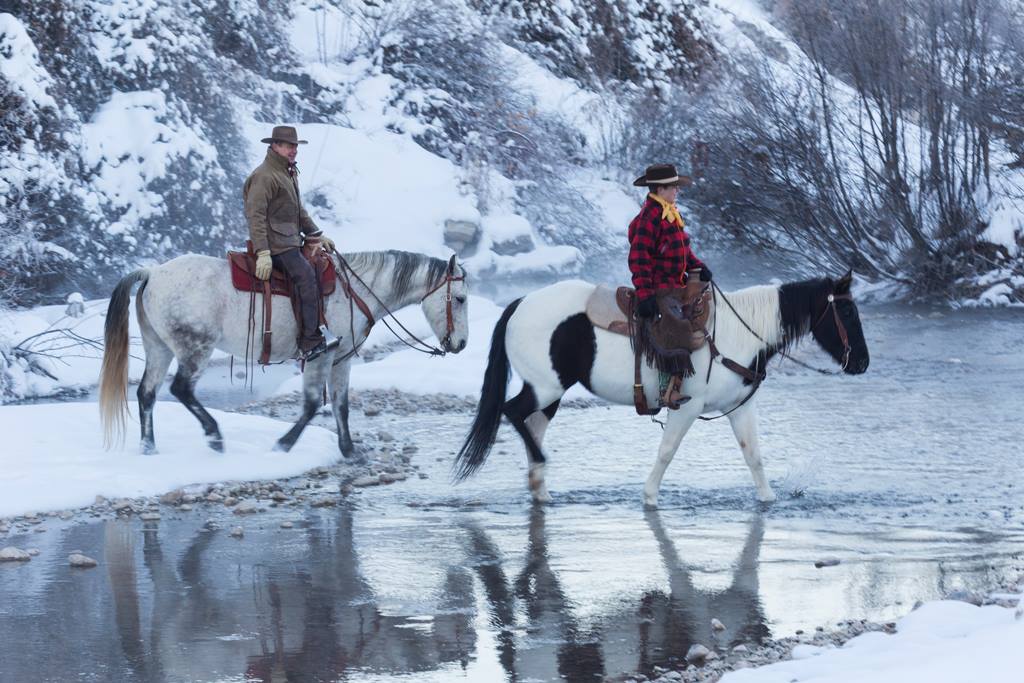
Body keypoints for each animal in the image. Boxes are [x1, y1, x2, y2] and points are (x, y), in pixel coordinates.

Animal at [99, 248, 468, 456]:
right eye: (461, 298)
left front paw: (349, 451)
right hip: (195, 348)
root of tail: (153, 273)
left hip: (158, 348)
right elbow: (312, 404)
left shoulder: (343, 358)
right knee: (180, 389)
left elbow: (341, 405)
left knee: (147, 393)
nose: (461, 344)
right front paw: (284, 444)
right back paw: (214, 436)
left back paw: (149, 447)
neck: (357, 290)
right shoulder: (322, 354)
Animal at [454, 272, 864, 507]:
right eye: (846, 313)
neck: (737, 334)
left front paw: (768, 499)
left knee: (532, 424)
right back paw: (541, 467)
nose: (861, 362)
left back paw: (539, 486)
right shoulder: (688, 405)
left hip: (551, 390)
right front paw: (650, 496)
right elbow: (667, 451)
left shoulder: (740, 407)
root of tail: (521, 303)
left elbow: (753, 456)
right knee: (513, 412)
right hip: (546, 385)